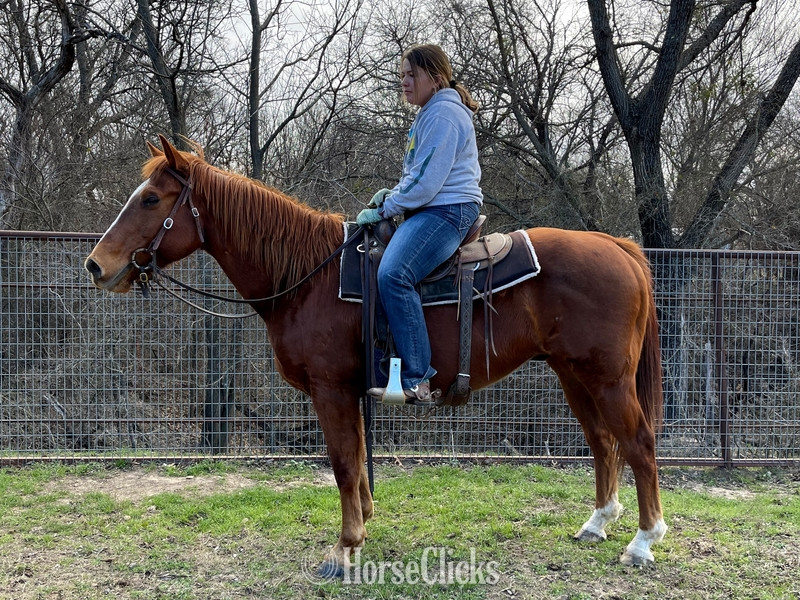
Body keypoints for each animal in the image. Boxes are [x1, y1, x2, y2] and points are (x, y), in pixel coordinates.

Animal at [85, 135, 667, 574]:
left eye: (151, 199)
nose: (96, 265)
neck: (308, 277)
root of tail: (619, 247)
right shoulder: (351, 390)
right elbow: (360, 459)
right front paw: (363, 522)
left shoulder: (330, 391)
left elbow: (343, 463)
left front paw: (343, 550)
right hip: (575, 376)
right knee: (602, 442)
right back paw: (597, 522)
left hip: (608, 379)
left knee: (637, 442)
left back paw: (642, 541)